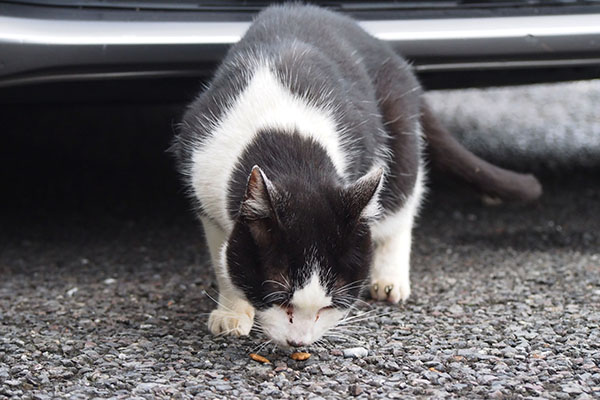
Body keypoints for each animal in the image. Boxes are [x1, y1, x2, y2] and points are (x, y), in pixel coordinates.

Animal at [170, 2, 544, 346]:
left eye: (328, 306)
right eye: (280, 299)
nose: (299, 342)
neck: (289, 146)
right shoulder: (203, 179)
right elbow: (224, 256)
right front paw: (232, 313)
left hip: (397, 130)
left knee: (403, 199)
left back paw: (390, 278)